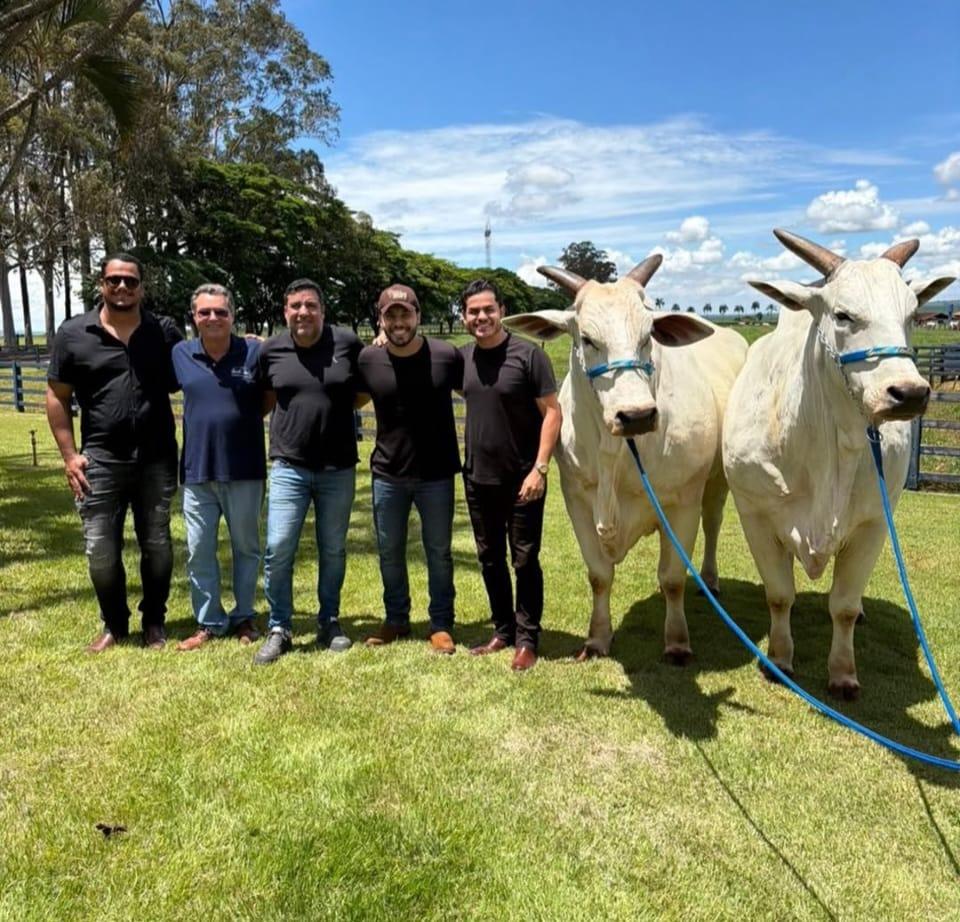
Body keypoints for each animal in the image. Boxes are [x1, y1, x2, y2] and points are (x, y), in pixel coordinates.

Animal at [503, 257, 747, 663]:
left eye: (648, 336)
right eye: (587, 338)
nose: (636, 415)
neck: (616, 453)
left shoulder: (682, 503)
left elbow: (673, 578)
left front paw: (677, 642)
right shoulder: (577, 502)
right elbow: (599, 576)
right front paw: (598, 638)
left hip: (716, 482)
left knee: (712, 524)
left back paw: (709, 580)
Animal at [722, 229, 955, 698]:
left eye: (912, 314)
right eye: (843, 315)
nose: (909, 392)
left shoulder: (874, 523)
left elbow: (842, 607)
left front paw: (843, 672)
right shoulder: (754, 515)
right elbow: (779, 594)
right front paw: (779, 659)